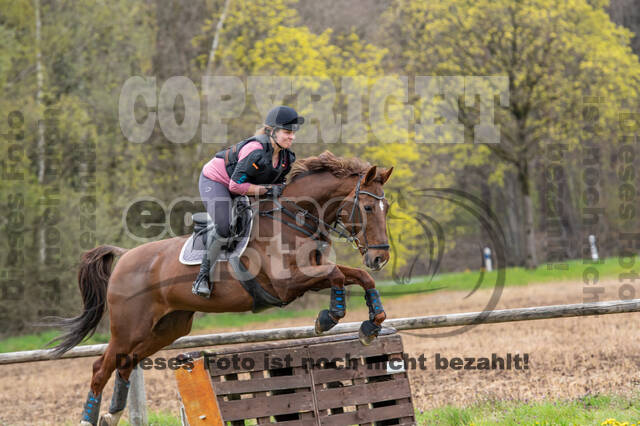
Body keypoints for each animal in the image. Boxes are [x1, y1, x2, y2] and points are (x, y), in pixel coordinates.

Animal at [51, 151, 390, 424]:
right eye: (368, 208)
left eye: (386, 207)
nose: (380, 257)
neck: (292, 219)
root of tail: (124, 257)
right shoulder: (287, 284)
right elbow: (336, 275)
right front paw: (328, 317)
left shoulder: (313, 274)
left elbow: (360, 277)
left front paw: (371, 326)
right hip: (129, 327)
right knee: (101, 367)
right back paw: (89, 419)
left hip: (168, 327)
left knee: (125, 365)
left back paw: (112, 415)